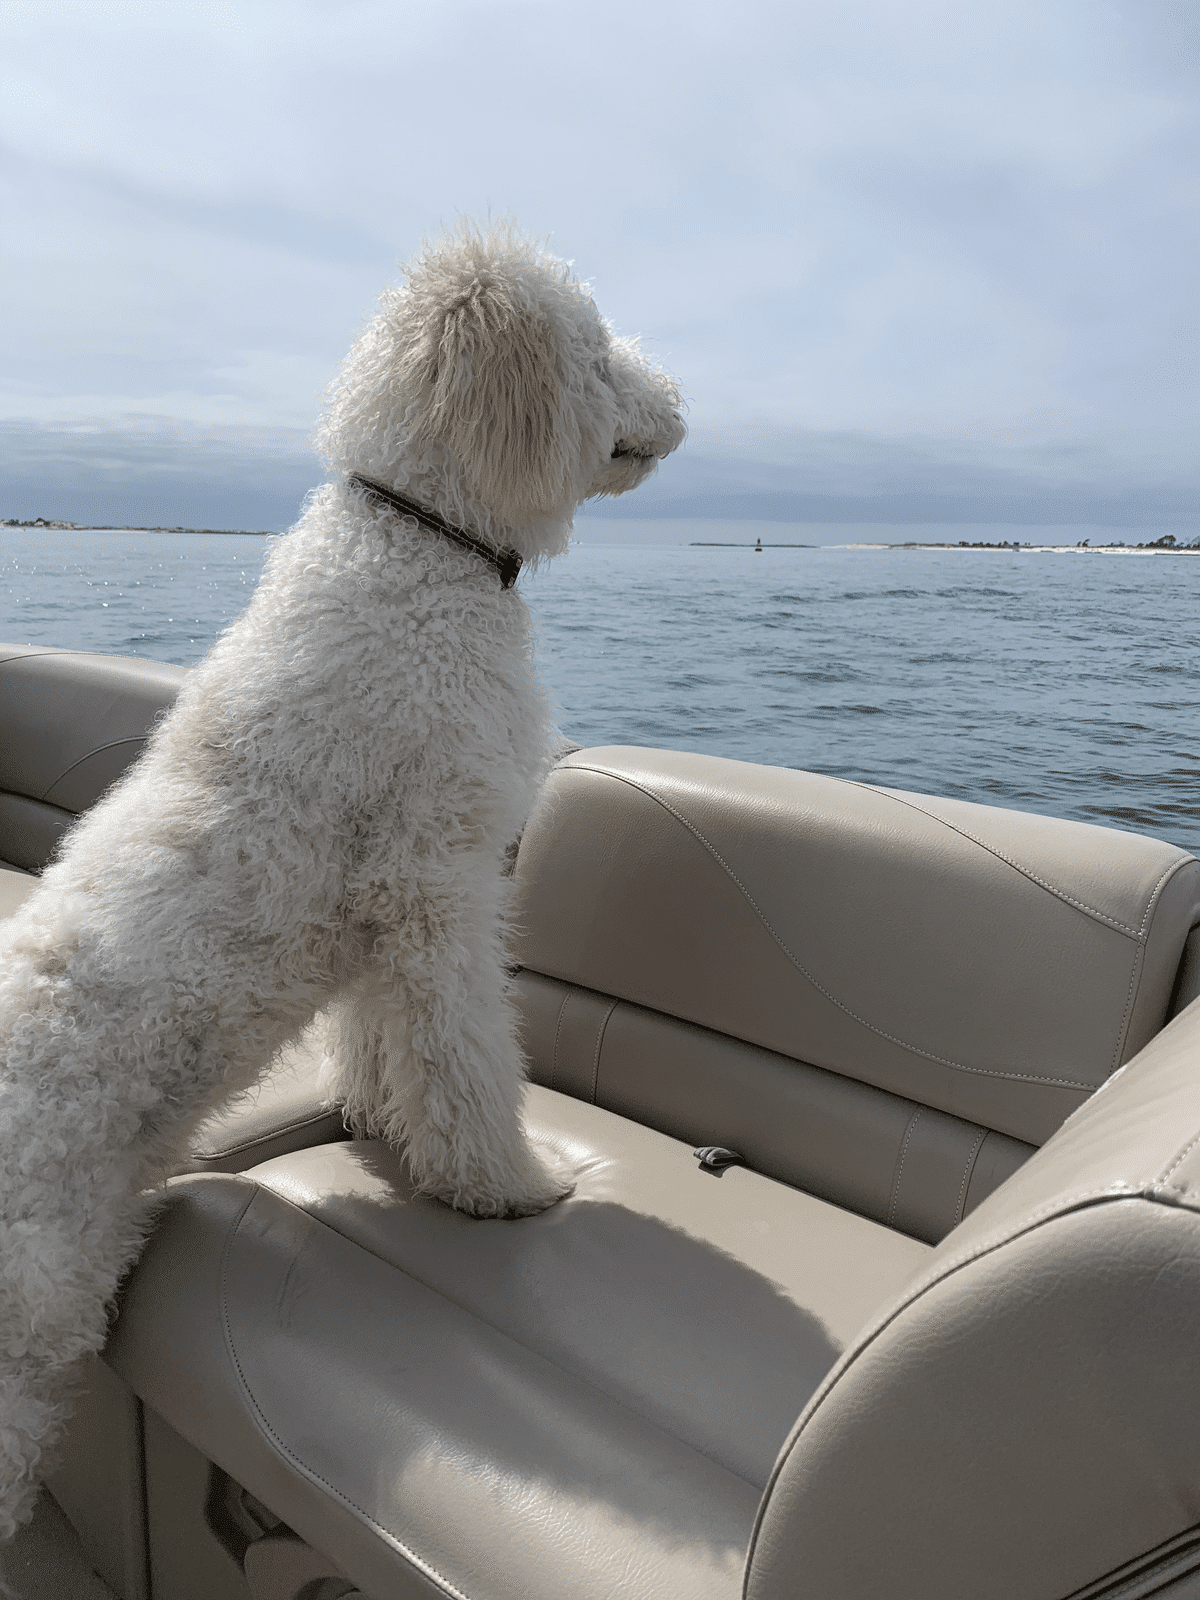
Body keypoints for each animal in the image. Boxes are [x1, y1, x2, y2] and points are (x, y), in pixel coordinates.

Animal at [0, 219, 684, 1529]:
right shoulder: (439, 878)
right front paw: (506, 1186)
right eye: (593, 348)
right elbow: (468, 1053)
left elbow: (391, 1038)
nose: (683, 401)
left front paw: (380, 1120)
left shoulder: (381, 908)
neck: (418, 538)